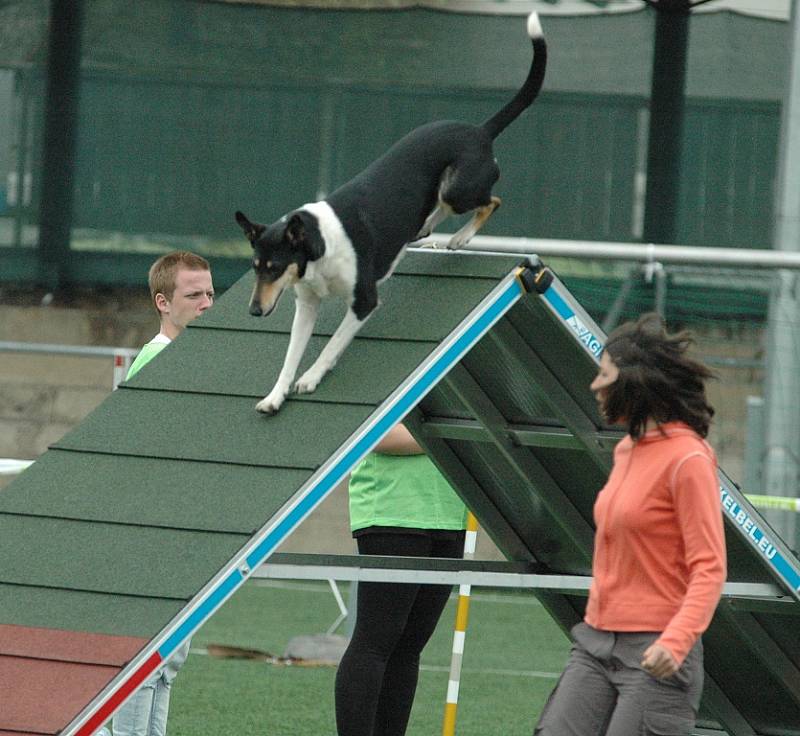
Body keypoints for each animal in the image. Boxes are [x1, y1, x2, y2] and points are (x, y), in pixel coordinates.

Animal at [236, 12, 544, 414]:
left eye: (274, 268)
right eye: (256, 268)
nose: (255, 312)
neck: (318, 246)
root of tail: (479, 130)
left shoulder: (364, 300)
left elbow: (332, 344)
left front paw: (311, 378)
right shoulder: (306, 304)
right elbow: (289, 357)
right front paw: (275, 397)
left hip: (458, 190)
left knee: (491, 201)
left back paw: (460, 237)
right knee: (440, 211)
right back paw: (424, 229)